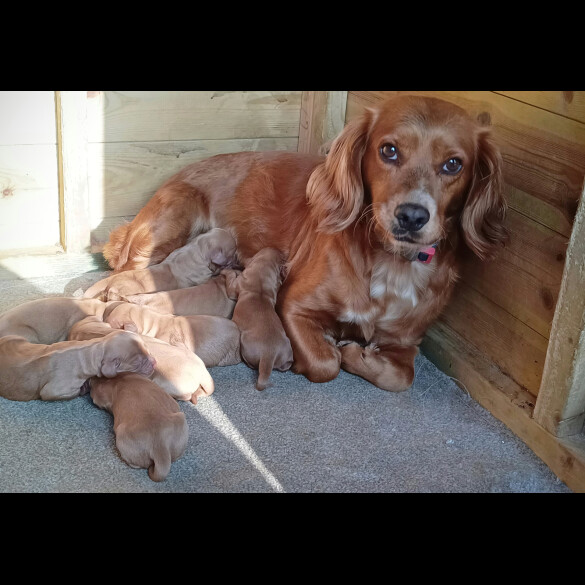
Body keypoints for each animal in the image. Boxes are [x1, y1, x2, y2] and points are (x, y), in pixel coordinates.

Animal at [227, 246, 292, 388]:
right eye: (281, 259)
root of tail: (269, 355)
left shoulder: (234, 288)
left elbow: (231, 279)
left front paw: (228, 270)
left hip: (245, 345)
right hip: (287, 348)